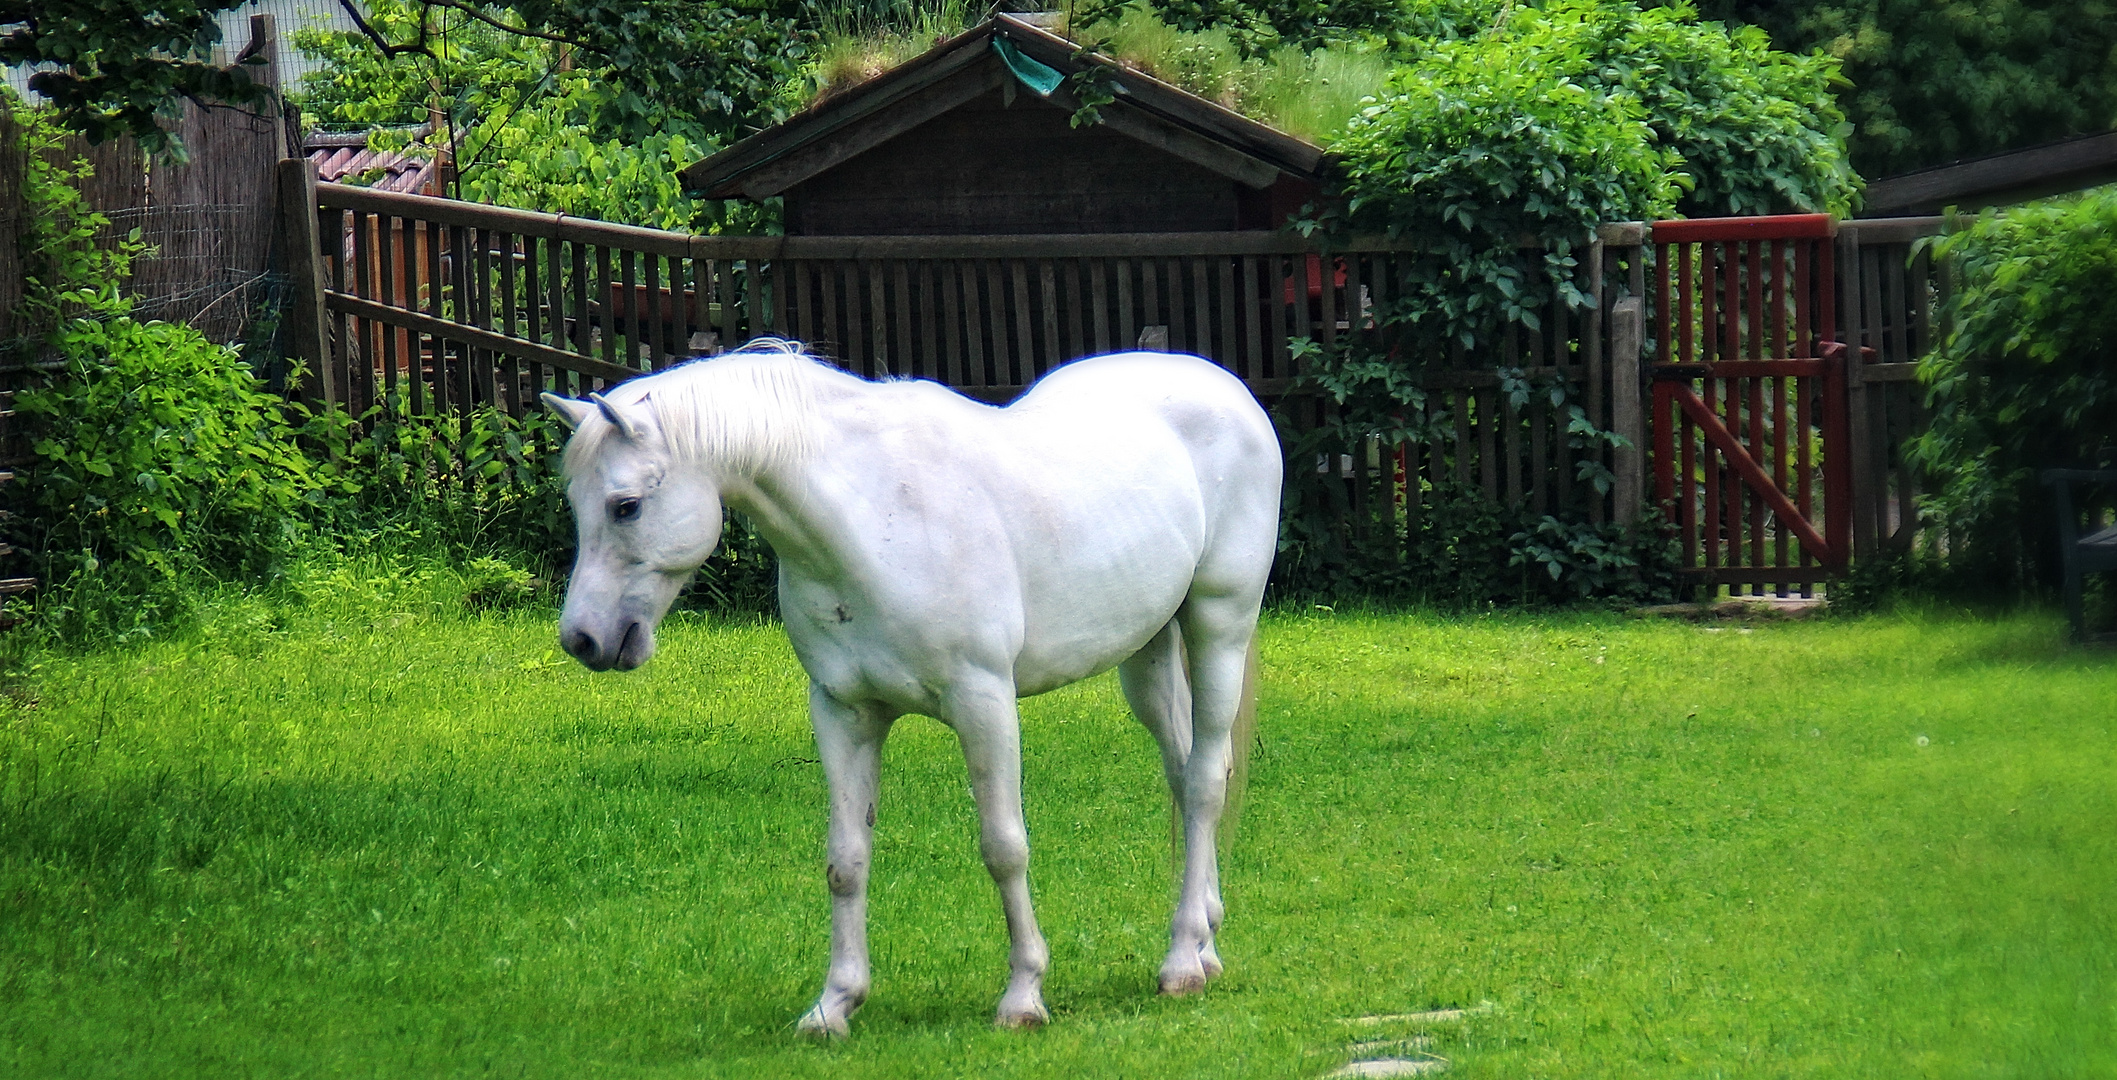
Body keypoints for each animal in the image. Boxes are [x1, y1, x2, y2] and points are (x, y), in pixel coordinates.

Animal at [537, 343, 1278, 1037]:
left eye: (626, 506)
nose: (584, 639)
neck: (873, 519)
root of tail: (1222, 385)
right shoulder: (844, 711)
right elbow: (846, 859)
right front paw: (834, 1004)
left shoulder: (983, 703)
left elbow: (1003, 848)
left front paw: (1022, 996)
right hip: (1146, 654)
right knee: (1184, 775)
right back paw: (1205, 942)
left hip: (1217, 625)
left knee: (1204, 781)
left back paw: (1182, 962)